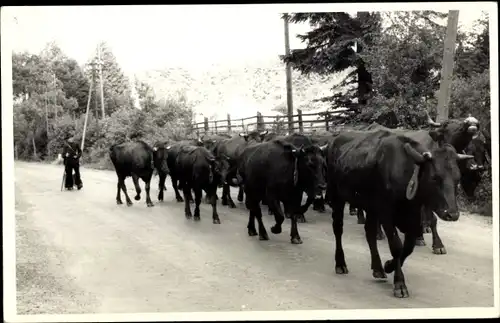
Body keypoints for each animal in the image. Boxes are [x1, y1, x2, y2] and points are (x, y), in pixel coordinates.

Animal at [326, 129, 474, 298]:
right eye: (434, 178)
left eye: (457, 178)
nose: (452, 214)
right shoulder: (386, 215)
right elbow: (396, 246)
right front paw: (399, 283)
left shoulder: (413, 217)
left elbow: (408, 247)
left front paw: (389, 265)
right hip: (337, 197)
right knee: (338, 228)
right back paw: (340, 264)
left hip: (371, 207)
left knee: (370, 233)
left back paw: (378, 268)